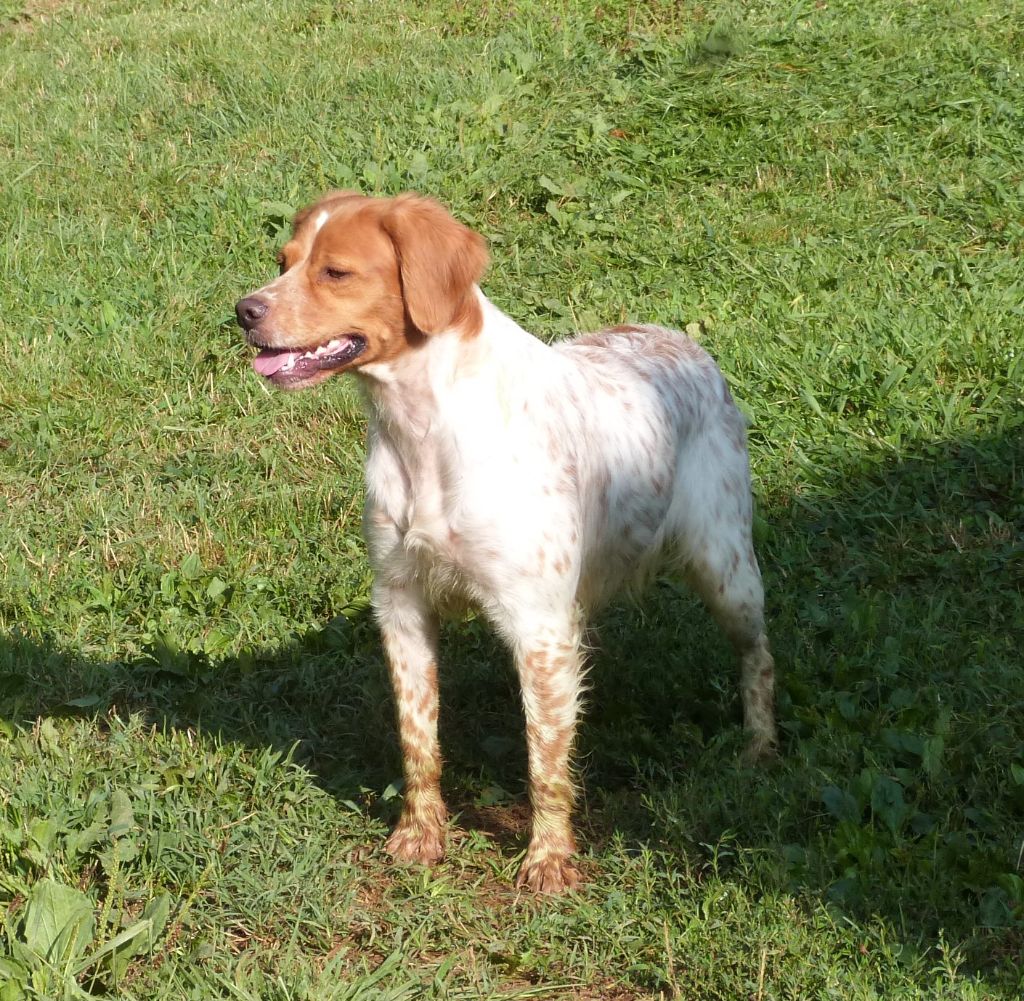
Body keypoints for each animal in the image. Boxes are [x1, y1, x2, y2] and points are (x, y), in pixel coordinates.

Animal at [234, 191, 774, 892]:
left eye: (336, 272)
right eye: (284, 262)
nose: (244, 311)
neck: (424, 430)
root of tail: (678, 339)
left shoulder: (539, 626)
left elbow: (544, 761)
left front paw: (548, 861)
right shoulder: (401, 603)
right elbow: (418, 739)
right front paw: (421, 836)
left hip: (725, 567)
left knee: (758, 655)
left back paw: (759, 747)